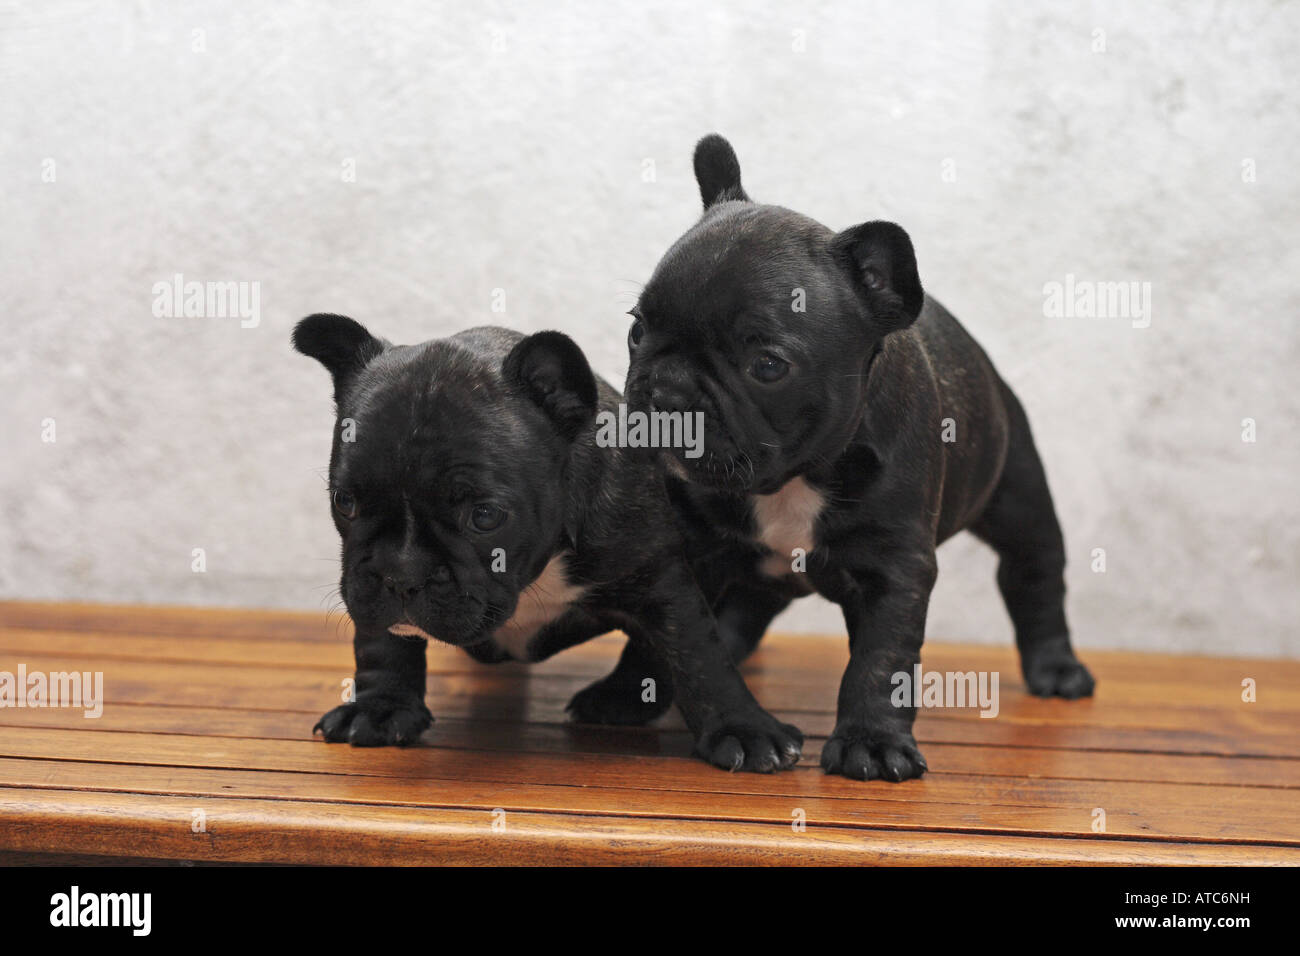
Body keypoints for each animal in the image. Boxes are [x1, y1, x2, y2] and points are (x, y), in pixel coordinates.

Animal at [295, 317, 800, 775]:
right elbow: (382, 641)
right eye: (345, 502)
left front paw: (742, 727)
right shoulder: (366, 582)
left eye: (485, 516)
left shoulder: (660, 577)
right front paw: (379, 707)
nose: (401, 575)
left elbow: (698, 654)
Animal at [624, 134, 1092, 780]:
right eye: (635, 331)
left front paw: (871, 741)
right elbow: (687, 646)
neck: (793, 480)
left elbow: (881, 660)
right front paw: (670, 707)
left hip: (1017, 495)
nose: (666, 391)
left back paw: (1056, 668)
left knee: (1034, 573)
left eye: (766, 365)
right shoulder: (689, 554)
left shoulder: (894, 567)